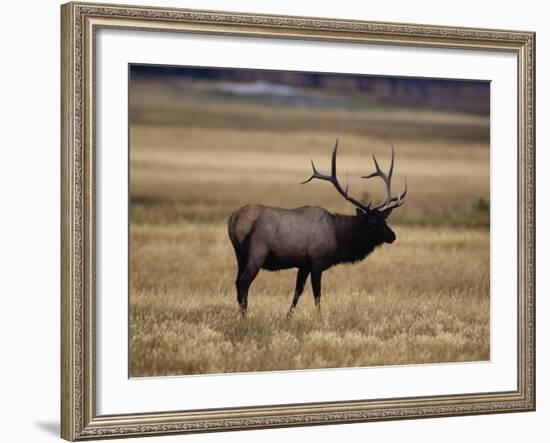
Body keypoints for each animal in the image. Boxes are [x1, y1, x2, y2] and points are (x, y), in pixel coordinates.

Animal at [226, 137, 408, 318]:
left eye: (385, 220)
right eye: (373, 223)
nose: (392, 236)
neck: (339, 238)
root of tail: (234, 220)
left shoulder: (304, 264)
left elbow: (297, 292)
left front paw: (288, 317)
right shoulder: (317, 261)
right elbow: (317, 294)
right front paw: (319, 318)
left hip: (240, 255)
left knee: (237, 282)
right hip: (257, 252)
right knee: (243, 283)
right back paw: (245, 317)